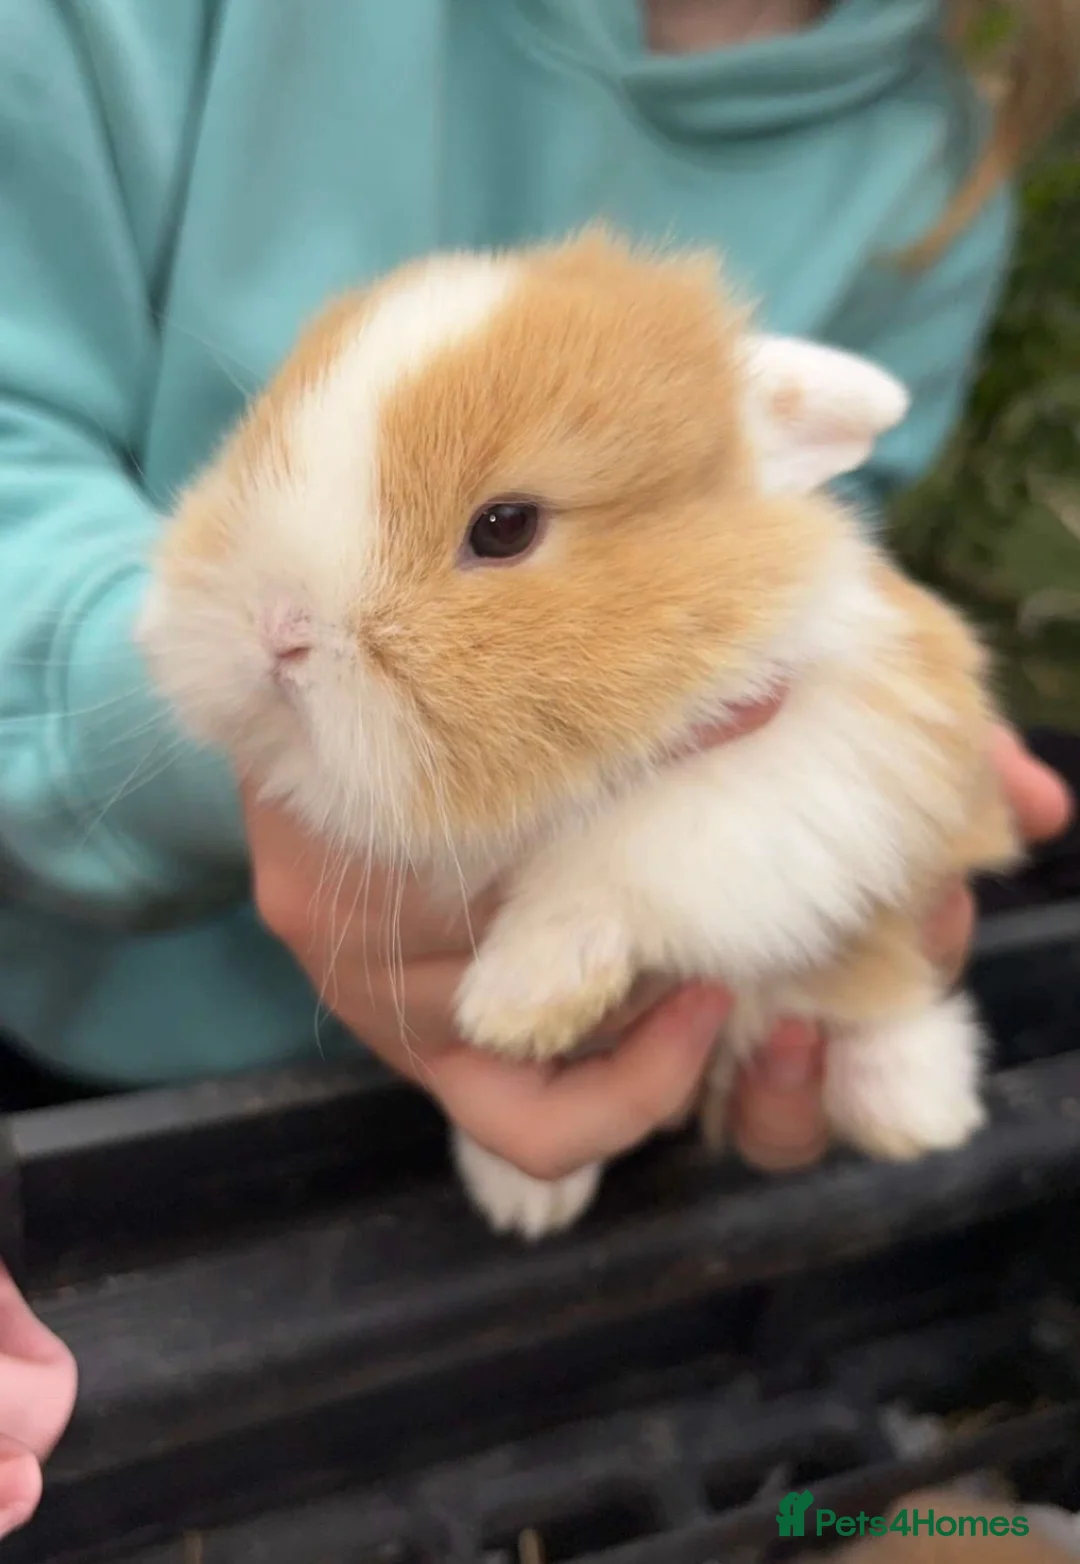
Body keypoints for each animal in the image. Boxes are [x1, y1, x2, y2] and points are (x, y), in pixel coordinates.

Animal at [139, 230, 1020, 1241]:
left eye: (505, 526)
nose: (277, 630)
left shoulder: (820, 768)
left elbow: (635, 850)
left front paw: (514, 1000)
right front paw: (522, 1197)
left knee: (882, 990)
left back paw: (920, 1113)